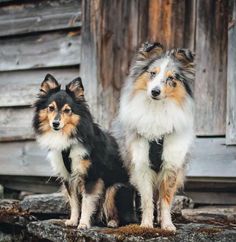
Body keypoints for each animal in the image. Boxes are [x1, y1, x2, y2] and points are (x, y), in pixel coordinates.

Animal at [32, 74, 129, 230]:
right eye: (51, 108)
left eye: (67, 110)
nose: (55, 123)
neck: (68, 139)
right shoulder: (68, 178)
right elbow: (75, 203)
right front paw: (72, 221)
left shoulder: (91, 175)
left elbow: (86, 202)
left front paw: (83, 224)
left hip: (116, 188)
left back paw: (113, 222)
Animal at [113, 42, 195, 232]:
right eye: (152, 73)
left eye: (171, 78)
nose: (155, 92)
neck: (157, 110)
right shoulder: (141, 165)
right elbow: (146, 200)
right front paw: (146, 225)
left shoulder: (171, 166)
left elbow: (165, 200)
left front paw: (167, 225)